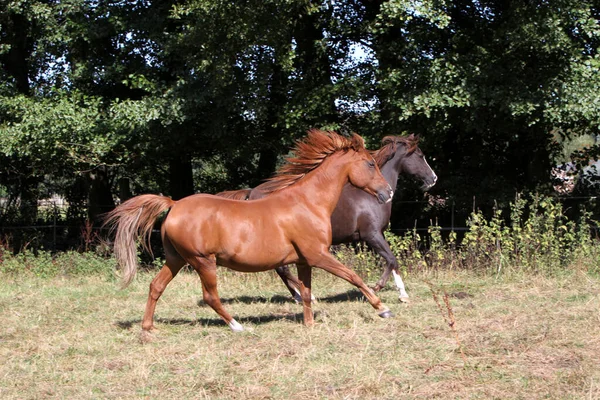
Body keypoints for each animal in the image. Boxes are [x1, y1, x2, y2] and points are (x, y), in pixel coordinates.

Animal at [105, 130, 396, 332]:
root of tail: (174, 204)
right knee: (210, 296)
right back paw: (237, 325)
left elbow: (307, 293)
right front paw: (383, 308)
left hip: (176, 259)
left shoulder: (304, 260)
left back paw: (148, 328)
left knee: (156, 286)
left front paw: (309, 324)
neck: (308, 202)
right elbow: (354, 277)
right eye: (370, 163)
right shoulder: (318, 255)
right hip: (202, 261)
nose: (388, 192)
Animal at [218, 134, 438, 300]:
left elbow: (393, 261)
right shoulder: (371, 235)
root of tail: (251, 192)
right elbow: (391, 259)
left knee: (280, 269)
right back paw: (304, 296)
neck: (369, 196)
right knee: (282, 269)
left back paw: (299, 296)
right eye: (420, 155)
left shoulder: (377, 235)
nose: (433, 178)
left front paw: (402, 293)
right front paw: (377, 288)